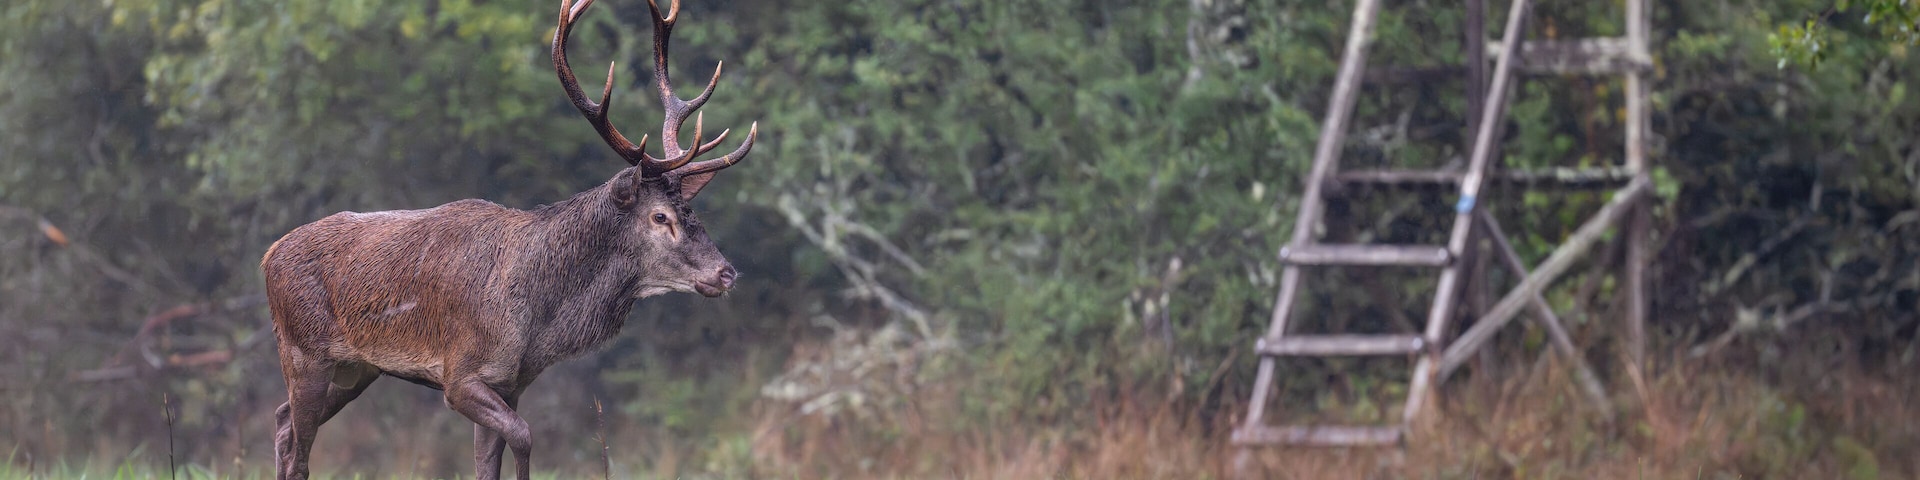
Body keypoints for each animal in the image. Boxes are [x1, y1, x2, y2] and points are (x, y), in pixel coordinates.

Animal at [259, 0, 756, 478]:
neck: (537, 321)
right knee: (299, 448)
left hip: (356, 369)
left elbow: (487, 463)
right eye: (660, 216)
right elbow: (524, 435)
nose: (727, 273)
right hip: (303, 352)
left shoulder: (509, 382)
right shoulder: (461, 375)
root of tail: (268, 257)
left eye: (694, 212)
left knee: (283, 421)